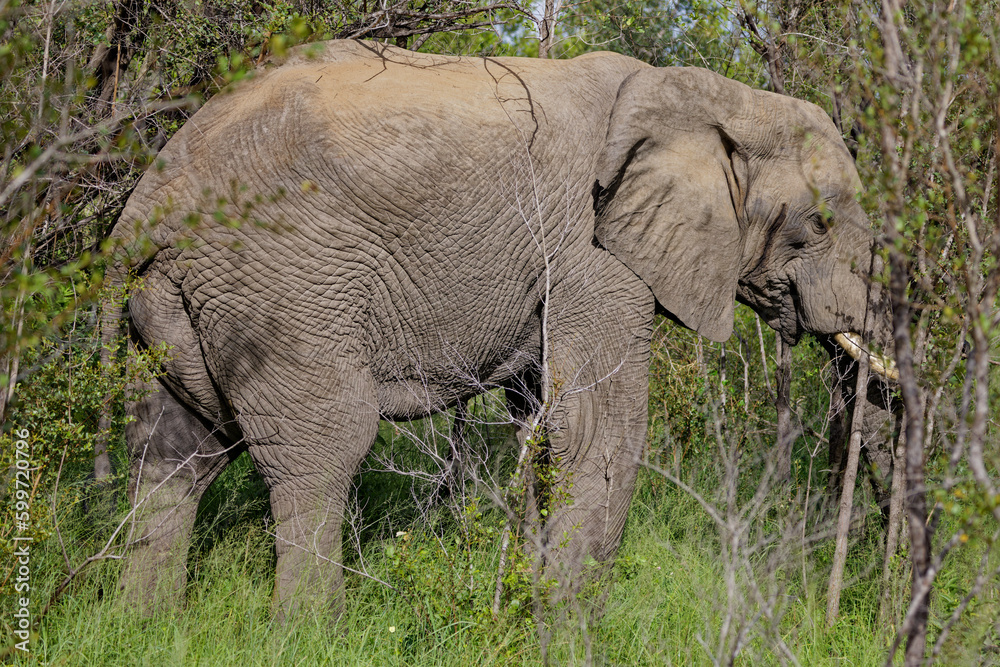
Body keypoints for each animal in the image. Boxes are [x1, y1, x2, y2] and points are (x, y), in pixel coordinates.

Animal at [100, 39, 897, 618]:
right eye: (817, 226)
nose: (841, 608)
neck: (717, 96)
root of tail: (147, 205)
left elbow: (543, 423)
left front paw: (528, 606)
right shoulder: (589, 248)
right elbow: (598, 427)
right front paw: (569, 628)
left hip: (180, 302)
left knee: (174, 449)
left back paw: (143, 625)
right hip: (284, 283)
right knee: (321, 447)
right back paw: (307, 634)